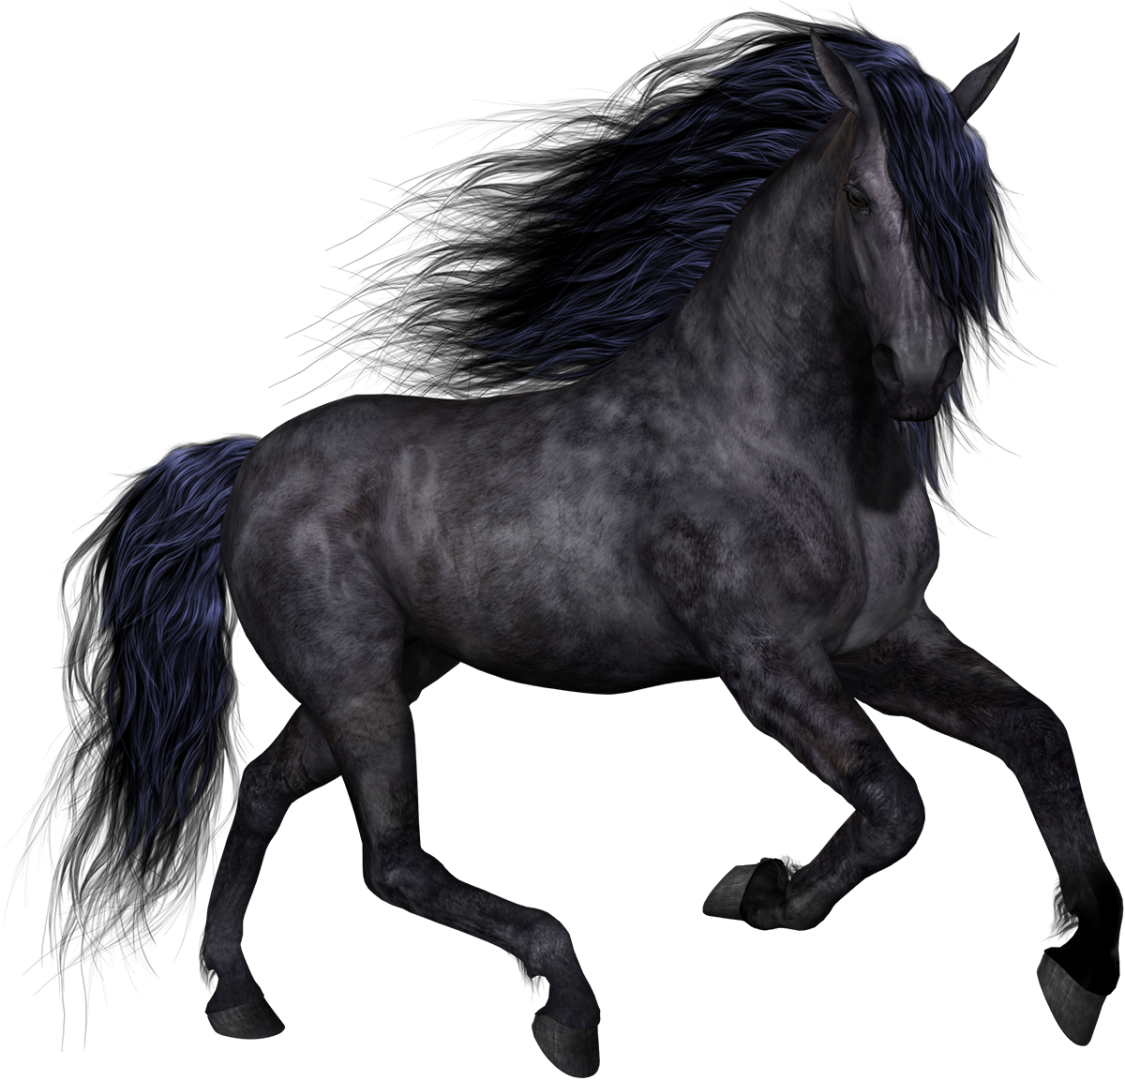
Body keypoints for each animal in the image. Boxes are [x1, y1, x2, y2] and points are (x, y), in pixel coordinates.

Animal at [98, 28, 1120, 1074]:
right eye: (858, 196)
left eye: (977, 201)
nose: (918, 373)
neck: (785, 435)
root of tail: (252, 459)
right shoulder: (764, 663)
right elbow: (893, 802)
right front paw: (760, 892)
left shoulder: (883, 640)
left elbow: (1034, 736)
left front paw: (1078, 974)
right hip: (355, 685)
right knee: (391, 862)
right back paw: (567, 1005)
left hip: (388, 673)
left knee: (265, 787)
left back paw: (236, 998)